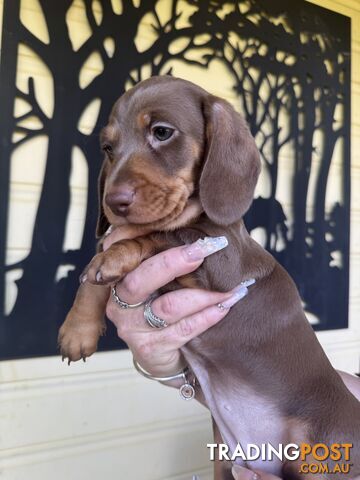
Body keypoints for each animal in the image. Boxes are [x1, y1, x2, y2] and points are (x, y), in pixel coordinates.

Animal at [59, 77, 360, 478]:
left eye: (162, 132)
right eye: (108, 148)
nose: (114, 203)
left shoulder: (223, 262)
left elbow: (156, 235)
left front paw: (115, 255)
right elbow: (98, 270)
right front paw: (78, 329)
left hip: (320, 458)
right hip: (225, 459)